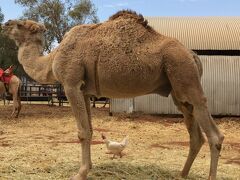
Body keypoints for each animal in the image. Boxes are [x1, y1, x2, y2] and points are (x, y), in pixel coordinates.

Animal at [1, 10, 223, 180]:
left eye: (20, 24)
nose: (5, 23)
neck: (52, 58)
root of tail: (193, 55)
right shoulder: (85, 91)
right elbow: (89, 130)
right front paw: (88, 168)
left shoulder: (71, 84)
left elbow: (82, 132)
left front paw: (80, 173)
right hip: (179, 91)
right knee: (195, 135)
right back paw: (181, 174)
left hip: (186, 77)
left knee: (214, 134)